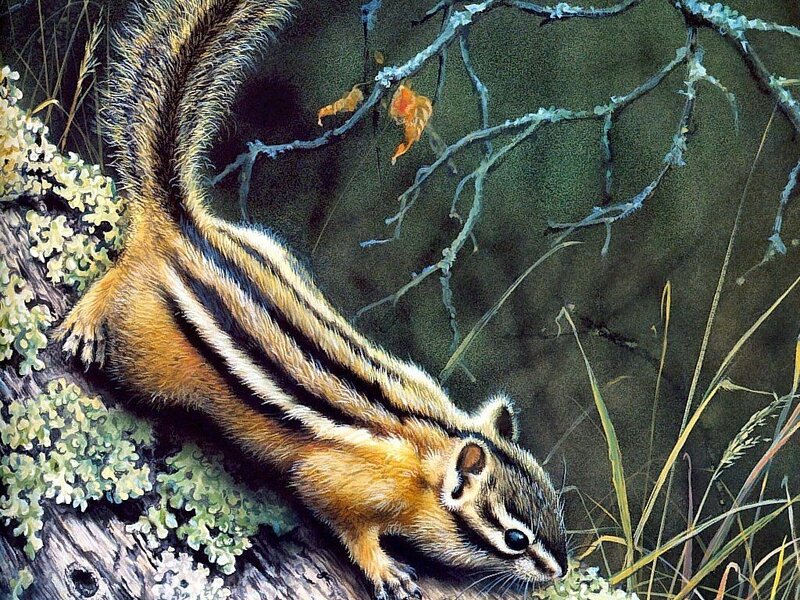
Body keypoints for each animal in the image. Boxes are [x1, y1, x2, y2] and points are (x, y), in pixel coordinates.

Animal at [54, 0, 568, 597]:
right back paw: (87, 321)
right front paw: (384, 568)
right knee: (120, 274)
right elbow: (341, 517)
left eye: (555, 508)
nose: (561, 568)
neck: (430, 447)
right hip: (146, 351)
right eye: (516, 538)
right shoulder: (343, 482)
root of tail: (183, 229)